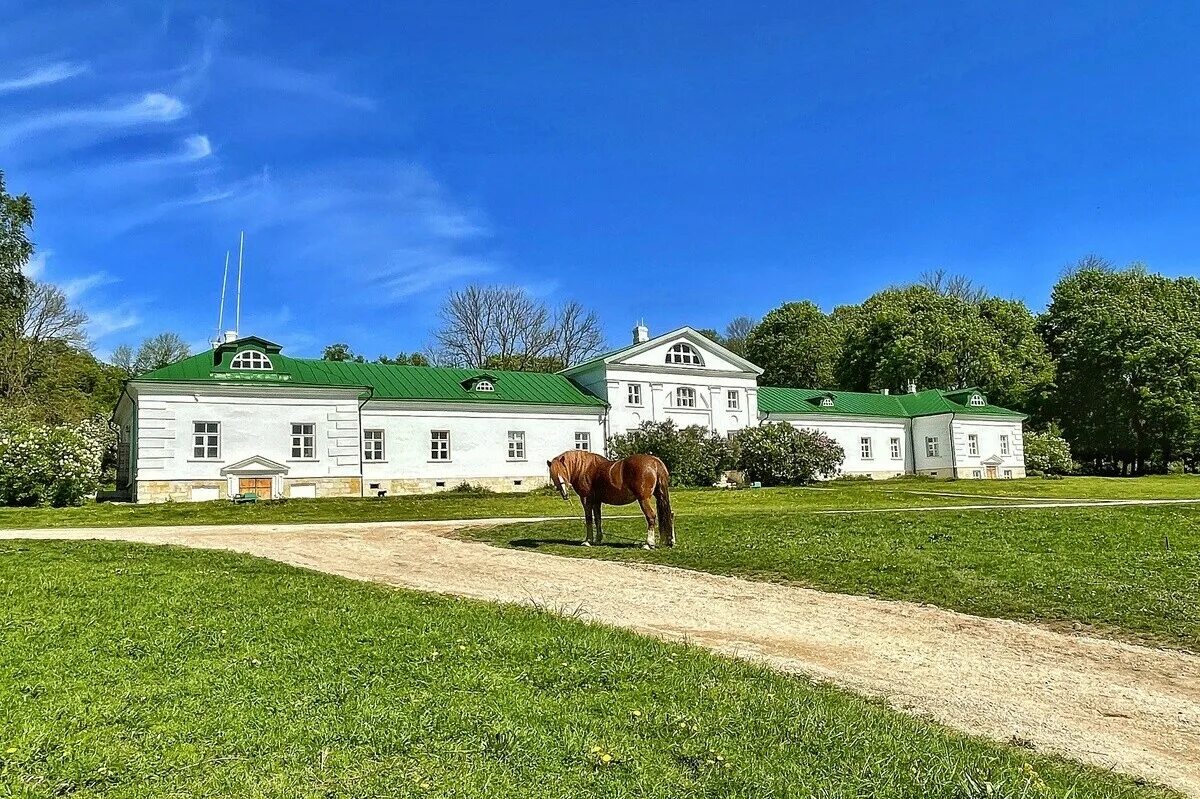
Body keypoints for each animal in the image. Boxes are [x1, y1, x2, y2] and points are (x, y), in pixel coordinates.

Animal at [547, 448, 676, 547]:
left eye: (563, 471)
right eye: (553, 475)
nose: (564, 493)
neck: (584, 468)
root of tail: (654, 462)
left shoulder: (586, 499)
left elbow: (589, 518)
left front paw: (588, 541)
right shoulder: (596, 501)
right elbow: (597, 519)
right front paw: (598, 539)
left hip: (643, 499)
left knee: (651, 516)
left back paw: (648, 543)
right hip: (659, 496)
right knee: (669, 514)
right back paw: (669, 541)